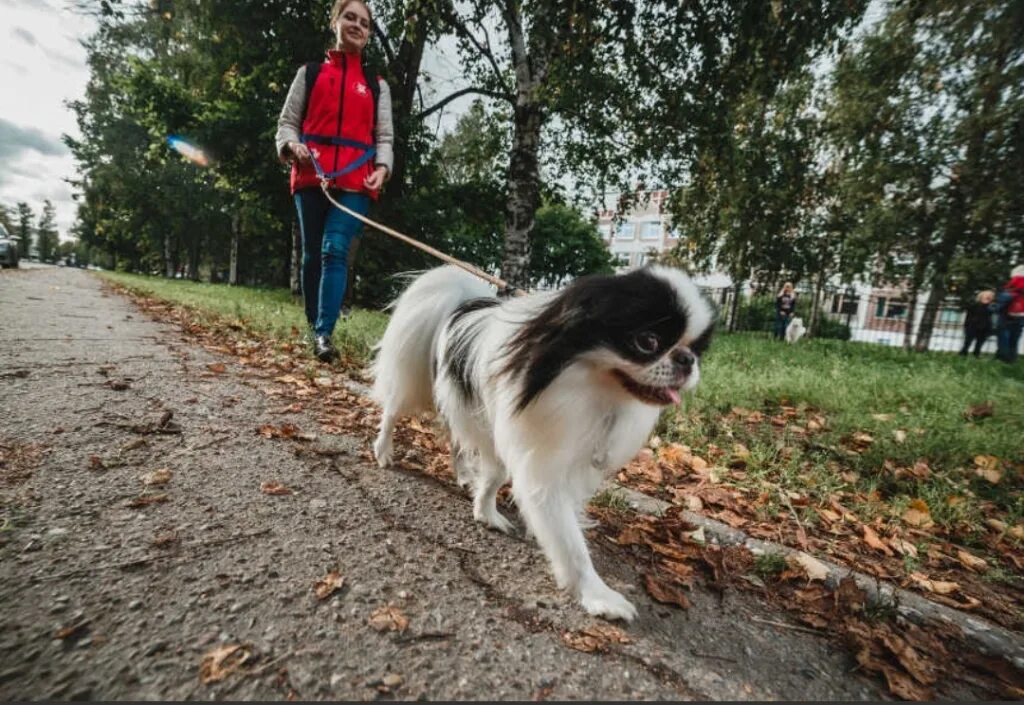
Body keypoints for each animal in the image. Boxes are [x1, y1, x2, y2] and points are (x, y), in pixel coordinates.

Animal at [368, 266, 712, 623]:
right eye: (648, 342)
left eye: (698, 349)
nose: (687, 359)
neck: (595, 390)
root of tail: (464, 302)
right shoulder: (539, 463)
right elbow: (570, 542)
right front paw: (598, 594)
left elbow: (501, 482)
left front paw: (487, 511)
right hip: (414, 384)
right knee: (392, 412)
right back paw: (383, 452)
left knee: (457, 440)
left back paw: (462, 474)